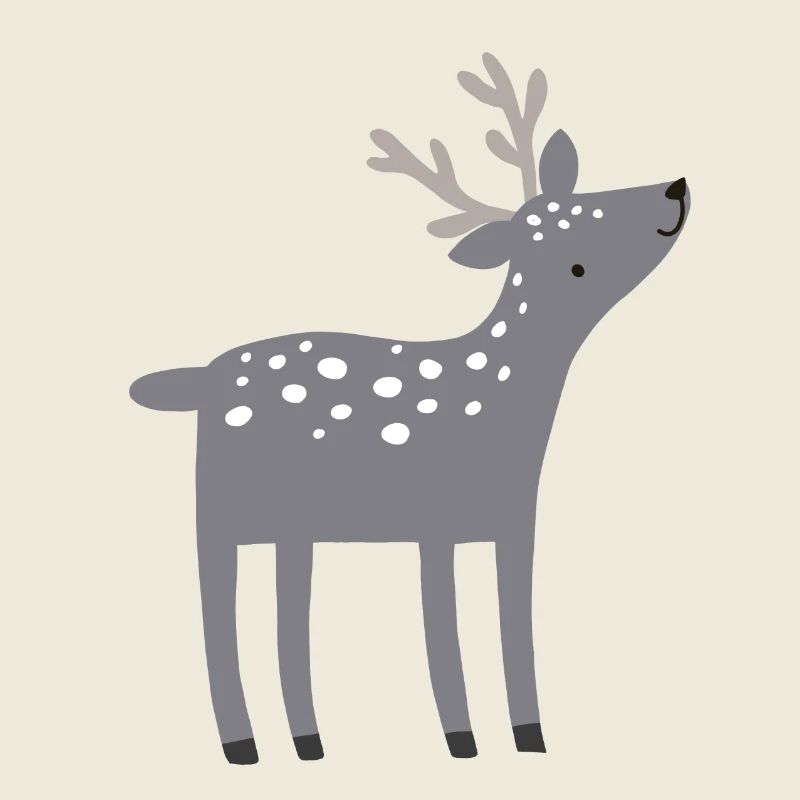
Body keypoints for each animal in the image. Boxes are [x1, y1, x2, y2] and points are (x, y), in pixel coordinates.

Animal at [130, 53, 690, 764]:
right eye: (578, 263)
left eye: (593, 197)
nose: (674, 188)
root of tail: (198, 380)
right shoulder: (435, 517)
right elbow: (442, 628)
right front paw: (464, 741)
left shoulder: (512, 520)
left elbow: (513, 621)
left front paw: (528, 739)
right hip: (218, 512)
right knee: (214, 615)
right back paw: (242, 747)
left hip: (291, 525)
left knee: (285, 618)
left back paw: (308, 742)